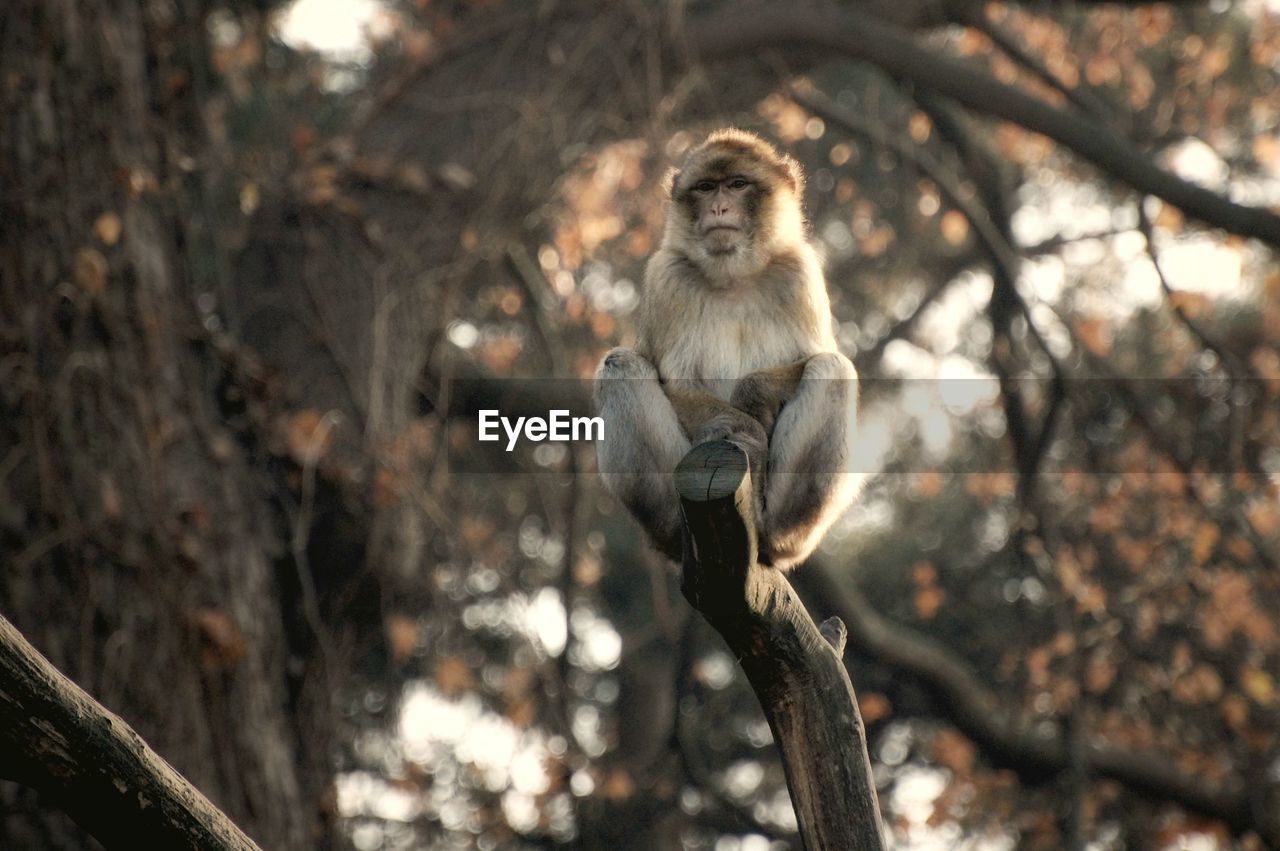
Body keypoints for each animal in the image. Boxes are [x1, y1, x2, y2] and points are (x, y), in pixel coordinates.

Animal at [596, 129, 860, 568]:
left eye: (737, 184)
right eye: (706, 188)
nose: (719, 207)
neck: (734, 278)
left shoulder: (798, 273)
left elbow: (813, 356)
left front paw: (754, 399)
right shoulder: (667, 278)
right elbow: (678, 384)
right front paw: (744, 432)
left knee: (833, 370)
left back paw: (776, 534)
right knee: (621, 366)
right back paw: (678, 531)